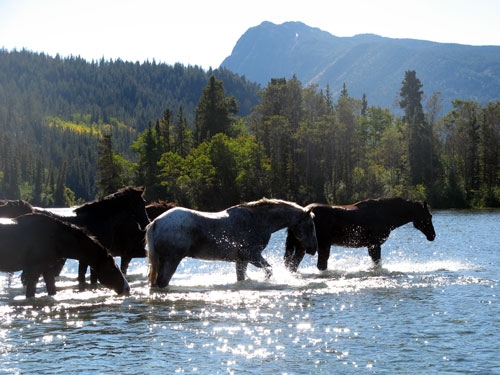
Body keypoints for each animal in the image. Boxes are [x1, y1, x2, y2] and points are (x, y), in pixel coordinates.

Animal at [0, 214, 129, 300]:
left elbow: (52, 290)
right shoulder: (34, 269)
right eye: (112, 269)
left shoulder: (47, 268)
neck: (57, 240)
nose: (127, 288)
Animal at [146, 197, 316, 288]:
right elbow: (269, 271)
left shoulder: (241, 260)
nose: (313, 249)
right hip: (171, 260)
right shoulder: (252, 255)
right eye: (311, 225)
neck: (258, 220)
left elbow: (242, 278)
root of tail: (155, 222)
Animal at [284, 198, 436, 272]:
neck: (388, 216)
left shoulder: (371, 245)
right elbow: (377, 263)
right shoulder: (374, 244)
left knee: (294, 265)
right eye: (428, 216)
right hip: (319, 245)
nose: (433, 235)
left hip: (305, 246)